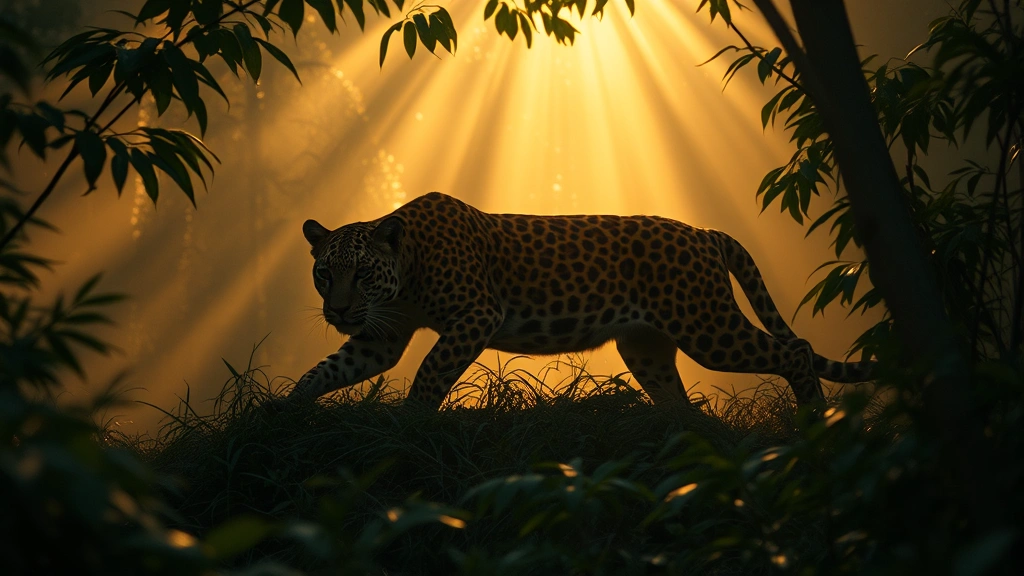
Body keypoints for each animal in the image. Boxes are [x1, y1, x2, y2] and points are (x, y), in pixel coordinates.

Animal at [282, 192, 874, 410]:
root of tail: (703, 232)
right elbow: (326, 370)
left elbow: (430, 371)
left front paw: (412, 420)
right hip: (646, 347)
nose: (338, 310)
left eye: (361, 272)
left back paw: (814, 421)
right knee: (680, 403)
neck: (404, 274)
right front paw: (284, 413)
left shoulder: (476, 315)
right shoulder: (378, 337)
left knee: (795, 350)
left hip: (709, 328)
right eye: (323, 273)